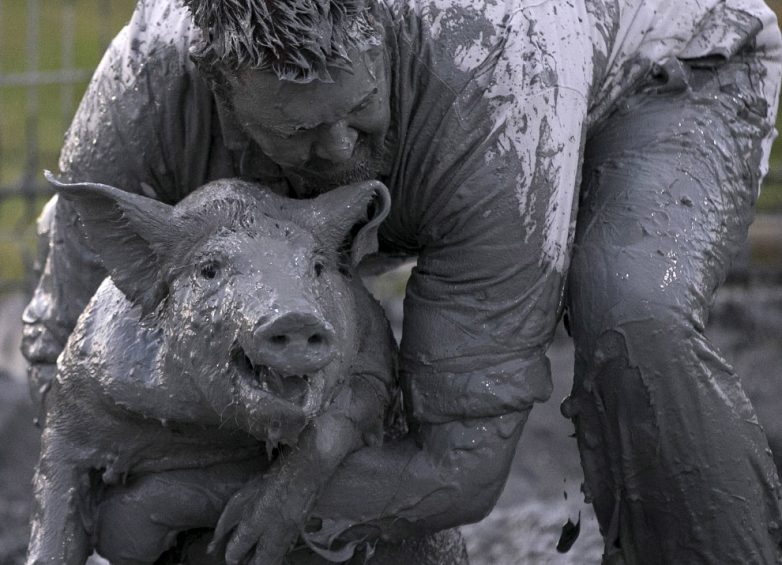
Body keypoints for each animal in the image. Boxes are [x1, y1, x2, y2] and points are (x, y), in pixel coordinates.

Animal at [25, 174, 408, 560]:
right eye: (209, 269)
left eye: (316, 267)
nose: (295, 317)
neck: (212, 428)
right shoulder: (76, 392)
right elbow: (57, 493)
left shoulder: (378, 357)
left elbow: (339, 420)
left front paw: (243, 548)